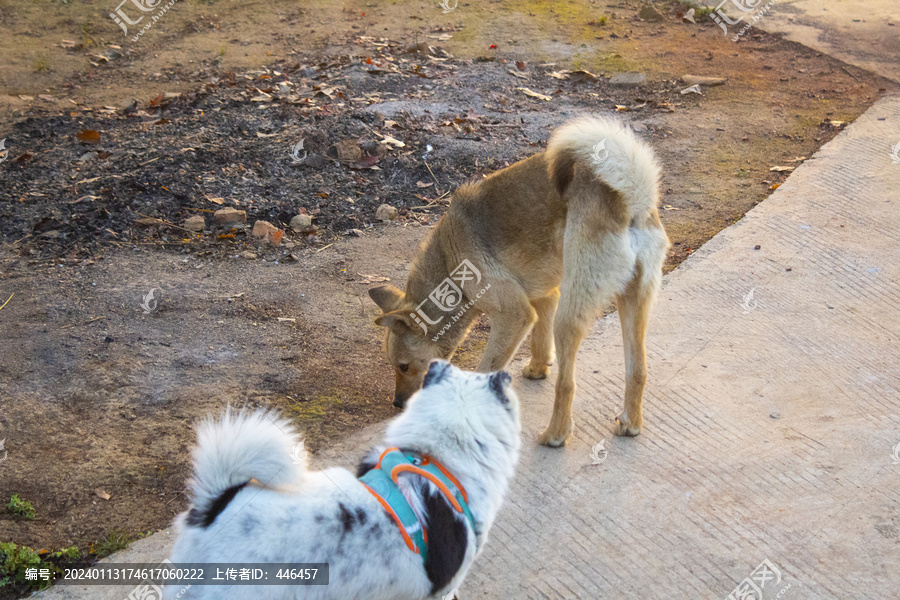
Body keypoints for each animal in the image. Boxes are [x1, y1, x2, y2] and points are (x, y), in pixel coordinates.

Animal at [366, 117, 668, 446]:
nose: (397, 403)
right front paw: (538, 368)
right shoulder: (545, 295)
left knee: (567, 384)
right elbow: (540, 341)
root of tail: (632, 200)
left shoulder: (515, 316)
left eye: (403, 365)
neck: (449, 264)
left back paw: (556, 434)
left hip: (570, 317)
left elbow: (486, 370)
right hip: (633, 304)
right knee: (638, 371)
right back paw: (630, 423)